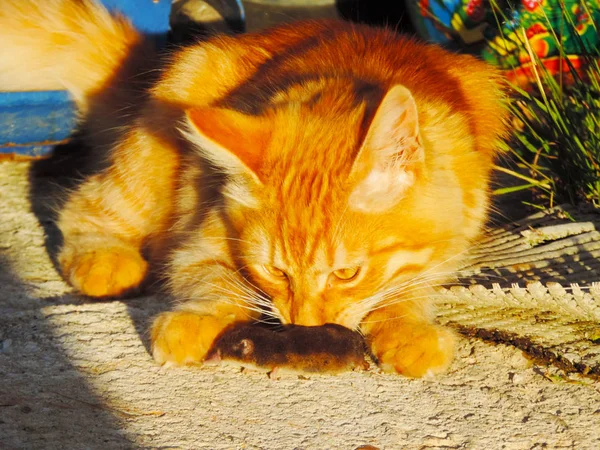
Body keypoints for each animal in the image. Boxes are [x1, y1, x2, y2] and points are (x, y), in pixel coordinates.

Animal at [0, 0, 506, 376]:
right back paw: (106, 260)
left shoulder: (458, 231)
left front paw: (407, 331)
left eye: (347, 273)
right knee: (84, 206)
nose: (306, 325)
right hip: (151, 155)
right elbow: (212, 279)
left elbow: (411, 286)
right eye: (276, 272)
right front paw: (196, 321)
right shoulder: (198, 239)